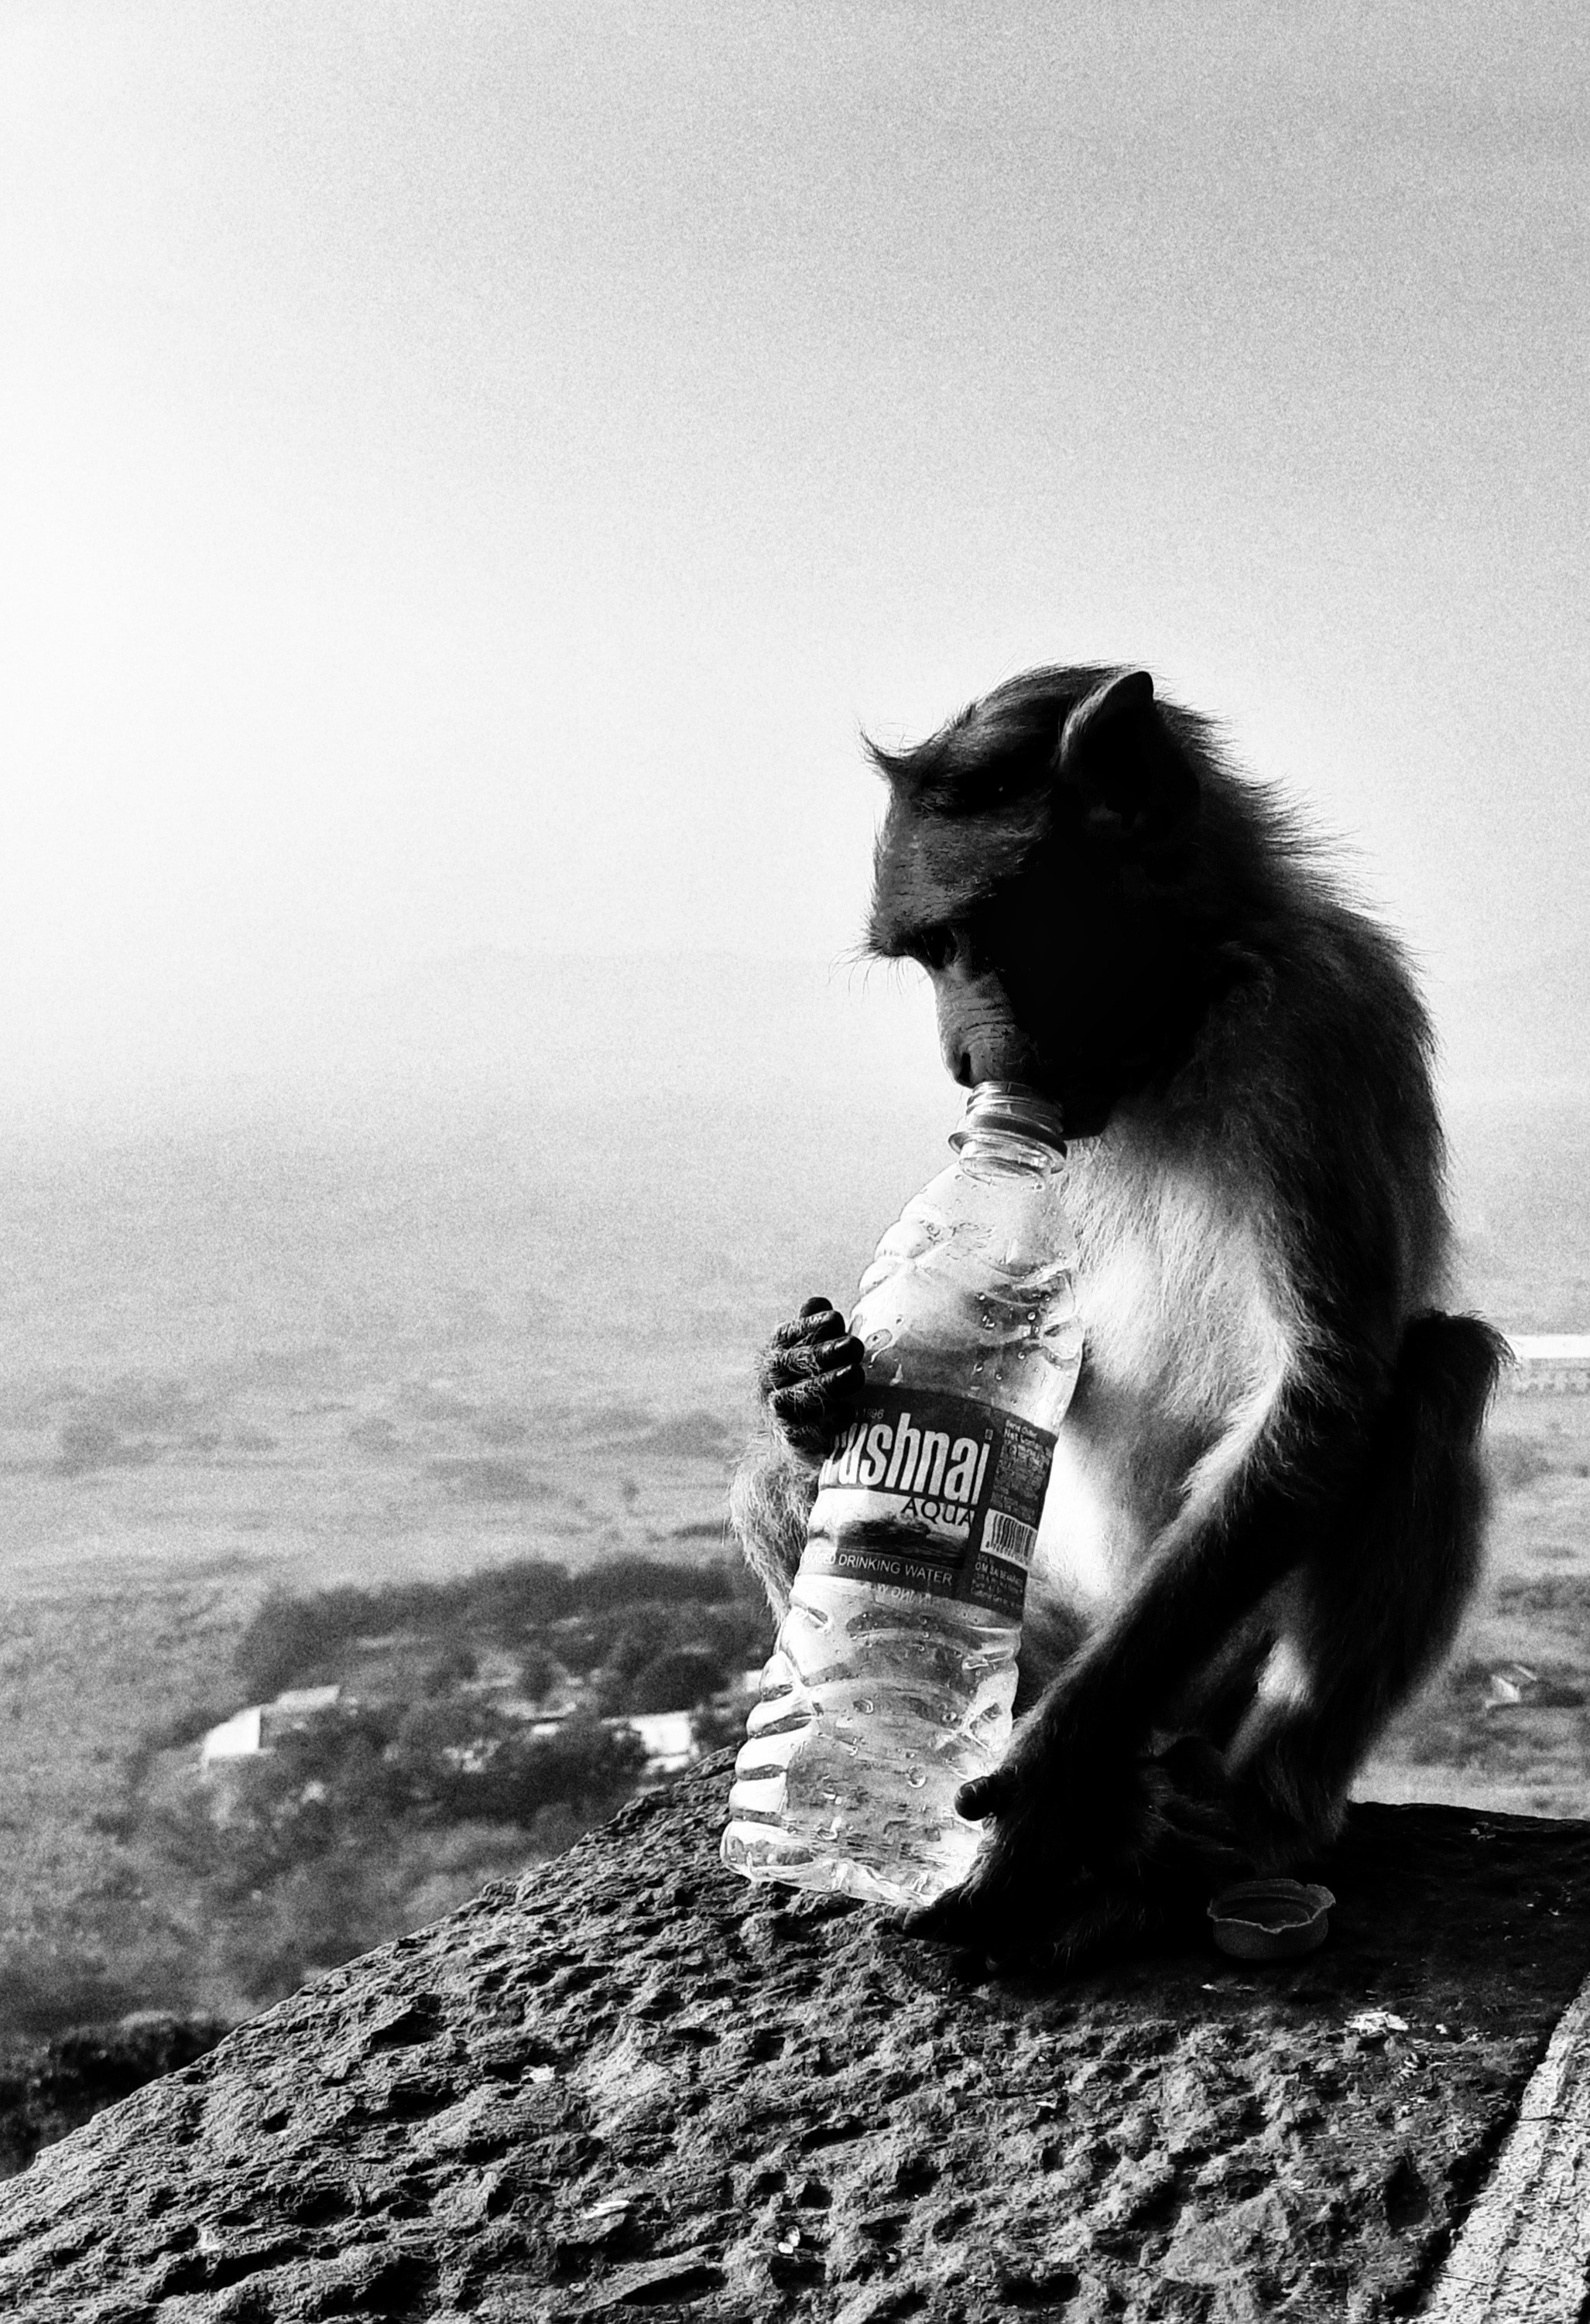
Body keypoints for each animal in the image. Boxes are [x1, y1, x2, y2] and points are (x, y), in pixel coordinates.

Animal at [731, 664, 1504, 1970]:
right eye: (922, 954)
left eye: (960, 942)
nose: (959, 1067)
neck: (1182, 1018)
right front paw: (810, 1381)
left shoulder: (1319, 1024)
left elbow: (1319, 1391)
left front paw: (1041, 1784)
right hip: (1043, 1620)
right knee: (772, 1491)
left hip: (1198, 1677)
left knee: (1431, 1377)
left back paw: (1221, 1820)